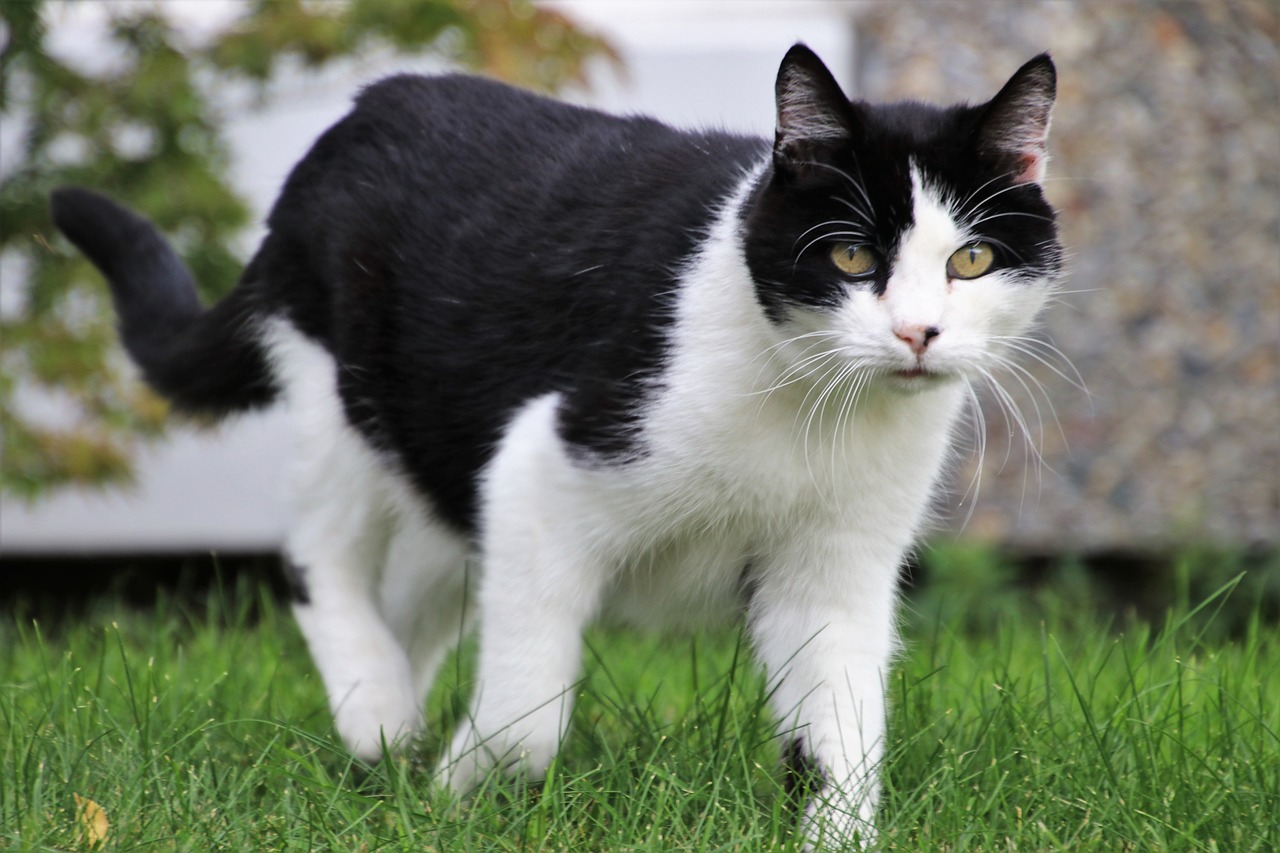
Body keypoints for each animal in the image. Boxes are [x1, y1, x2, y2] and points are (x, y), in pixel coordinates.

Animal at [52, 44, 1059, 845]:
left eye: (971, 261)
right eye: (851, 257)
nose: (919, 334)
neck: (815, 407)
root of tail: (357, 112)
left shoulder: (839, 571)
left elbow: (840, 735)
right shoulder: (542, 468)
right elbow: (526, 708)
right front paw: (459, 791)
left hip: (435, 465)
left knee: (411, 594)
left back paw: (383, 745)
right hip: (341, 394)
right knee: (318, 555)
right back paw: (379, 713)